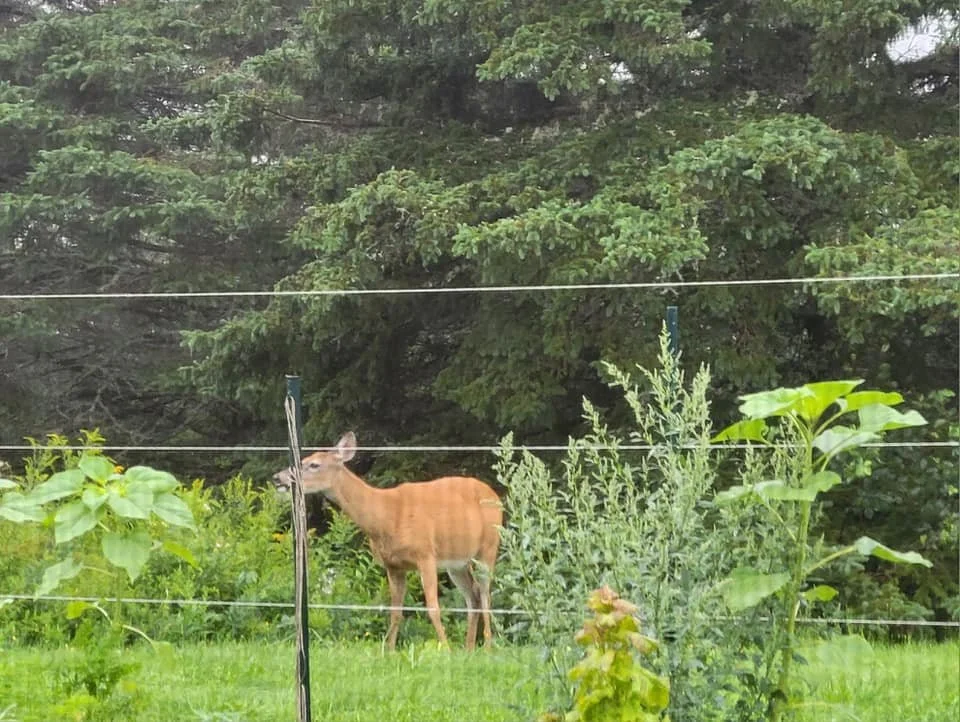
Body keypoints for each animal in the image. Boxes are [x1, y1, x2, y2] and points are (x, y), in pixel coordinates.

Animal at [272, 431, 503, 651]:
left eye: (314, 464)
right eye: (303, 459)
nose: (277, 478)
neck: (385, 516)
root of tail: (496, 496)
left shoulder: (425, 554)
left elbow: (433, 607)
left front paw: (445, 650)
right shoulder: (393, 565)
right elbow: (395, 610)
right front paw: (390, 650)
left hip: (488, 547)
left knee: (485, 595)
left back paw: (487, 648)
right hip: (457, 562)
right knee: (473, 596)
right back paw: (469, 648)